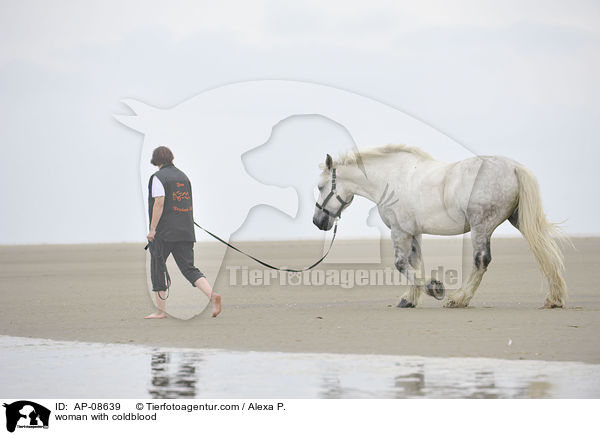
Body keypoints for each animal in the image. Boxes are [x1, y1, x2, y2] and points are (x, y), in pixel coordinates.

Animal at [312, 146, 568, 310]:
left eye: (321, 186)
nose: (317, 222)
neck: (390, 179)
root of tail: (515, 167)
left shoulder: (399, 231)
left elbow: (401, 264)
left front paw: (434, 288)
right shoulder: (413, 233)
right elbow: (415, 264)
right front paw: (410, 299)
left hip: (481, 227)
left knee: (481, 261)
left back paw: (459, 299)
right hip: (519, 221)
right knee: (545, 252)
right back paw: (554, 298)